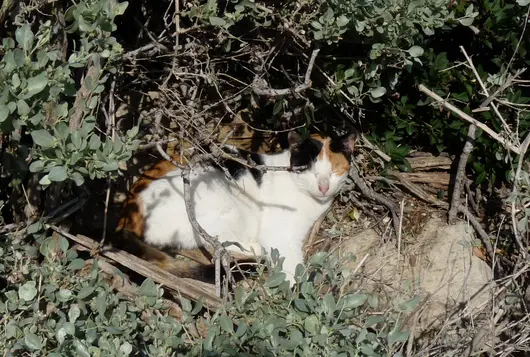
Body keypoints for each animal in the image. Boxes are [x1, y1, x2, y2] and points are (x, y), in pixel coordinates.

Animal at [115, 131, 354, 284]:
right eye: (312, 172)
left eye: (334, 172)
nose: (323, 187)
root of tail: (127, 214)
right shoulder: (279, 234)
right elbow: (291, 263)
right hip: (224, 203)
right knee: (218, 244)